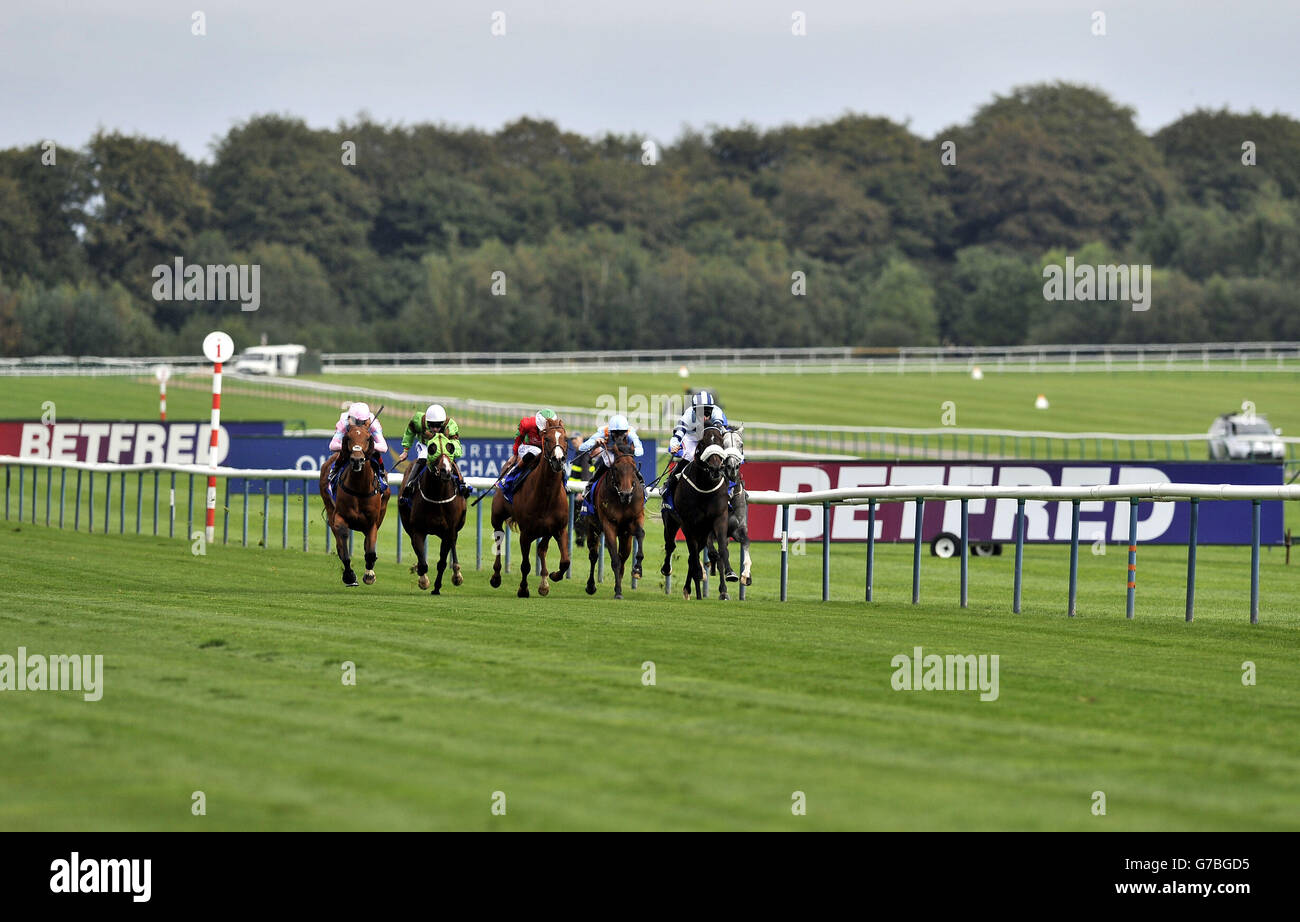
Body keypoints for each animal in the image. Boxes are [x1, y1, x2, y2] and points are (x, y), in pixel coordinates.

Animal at [319, 421, 390, 585]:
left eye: (368, 438)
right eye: (348, 437)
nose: (357, 460)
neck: (359, 488)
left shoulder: (372, 522)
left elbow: (370, 550)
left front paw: (369, 574)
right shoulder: (339, 517)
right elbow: (343, 543)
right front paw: (349, 575)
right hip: (329, 507)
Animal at [405, 434, 473, 598]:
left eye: (451, 447)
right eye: (432, 448)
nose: (446, 472)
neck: (437, 496)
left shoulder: (449, 530)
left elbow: (442, 562)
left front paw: (437, 587)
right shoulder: (418, 529)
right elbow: (423, 563)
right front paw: (423, 581)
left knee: (453, 544)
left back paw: (456, 574)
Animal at [488, 416, 569, 598]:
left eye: (566, 439)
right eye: (547, 439)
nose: (558, 460)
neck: (547, 497)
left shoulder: (559, 529)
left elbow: (565, 561)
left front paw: (553, 576)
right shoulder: (526, 534)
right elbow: (525, 565)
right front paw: (523, 589)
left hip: (546, 531)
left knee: (542, 549)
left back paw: (544, 582)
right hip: (497, 516)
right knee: (499, 538)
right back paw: (496, 576)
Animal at [587, 434, 647, 600]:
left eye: (634, 467)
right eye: (616, 468)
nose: (626, 494)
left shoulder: (636, 518)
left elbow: (640, 534)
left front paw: (637, 569)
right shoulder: (608, 525)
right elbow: (614, 560)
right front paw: (619, 591)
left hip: (625, 536)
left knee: (623, 557)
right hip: (592, 528)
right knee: (593, 556)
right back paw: (591, 586)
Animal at [660, 421, 733, 598]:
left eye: (721, 442)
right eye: (702, 443)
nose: (715, 468)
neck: (705, 488)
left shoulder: (719, 518)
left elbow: (721, 548)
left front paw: (726, 582)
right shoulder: (688, 523)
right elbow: (692, 552)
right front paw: (700, 574)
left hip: (704, 531)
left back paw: (690, 588)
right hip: (671, 521)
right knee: (671, 545)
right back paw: (668, 569)